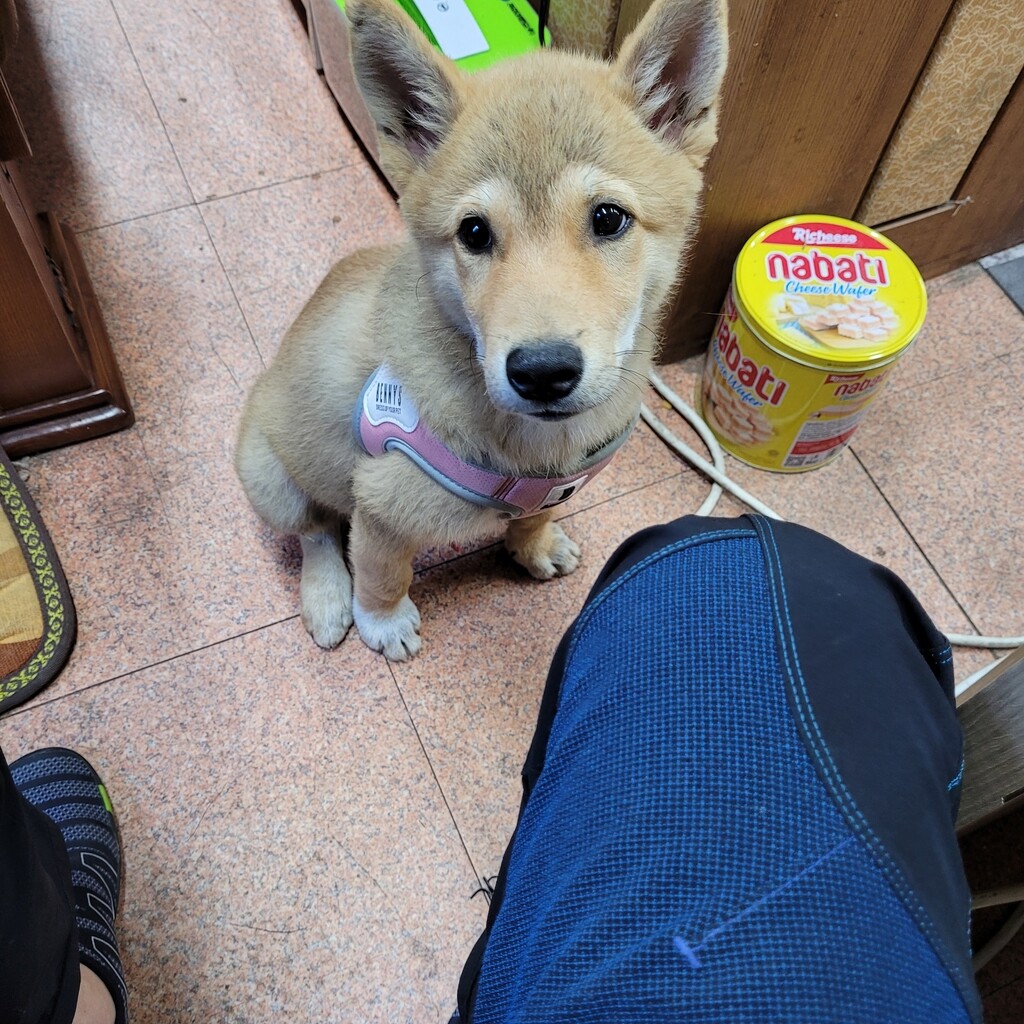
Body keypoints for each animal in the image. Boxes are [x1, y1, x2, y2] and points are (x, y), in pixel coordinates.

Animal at [235, 0, 729, 660]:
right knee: (315, 530)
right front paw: (383, 623)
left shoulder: (553, 490)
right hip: (271, 474)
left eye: (608, 218)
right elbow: (382, 572)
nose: (542, 373)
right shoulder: (381, 503)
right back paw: (328, 597)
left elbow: (535, 516)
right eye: (473, 232)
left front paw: (534, 548)